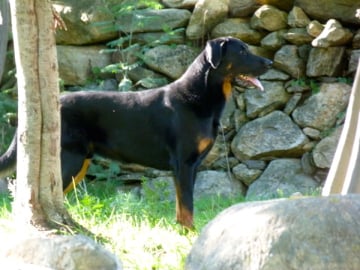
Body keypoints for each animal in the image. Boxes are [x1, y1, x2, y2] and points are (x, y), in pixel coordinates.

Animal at [0, 37, 270, 228]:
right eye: (242, 51)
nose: (269, 63)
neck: (200, 96)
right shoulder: (184, 164)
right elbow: (188, 205)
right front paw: (189, 234)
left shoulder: (190, 167)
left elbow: (182, 206)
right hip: (69, 160)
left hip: (79, 162)